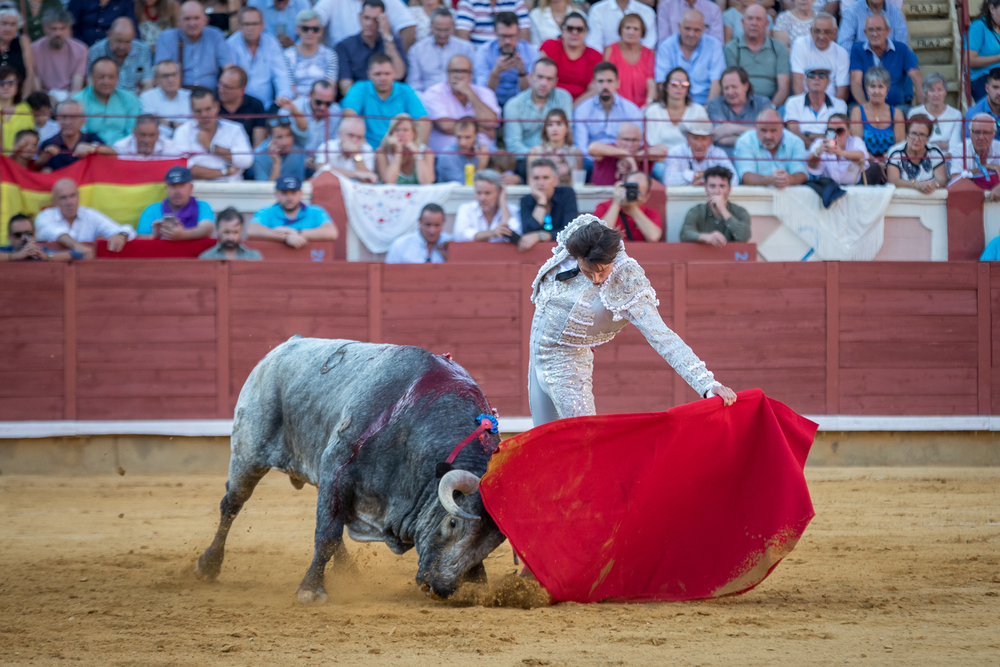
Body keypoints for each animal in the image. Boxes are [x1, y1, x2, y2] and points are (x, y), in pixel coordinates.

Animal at [195, 336, 508, 604]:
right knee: (232, 504)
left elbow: (331, 526)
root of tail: (280, 349)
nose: (440, 588)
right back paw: (208, 565)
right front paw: (311, 589)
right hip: (248, 452)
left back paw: (347, 571)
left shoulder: (335, 478)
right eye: (453, 523)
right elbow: (327, 534)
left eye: (492, 544)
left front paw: (477, 583)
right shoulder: (337, 468)